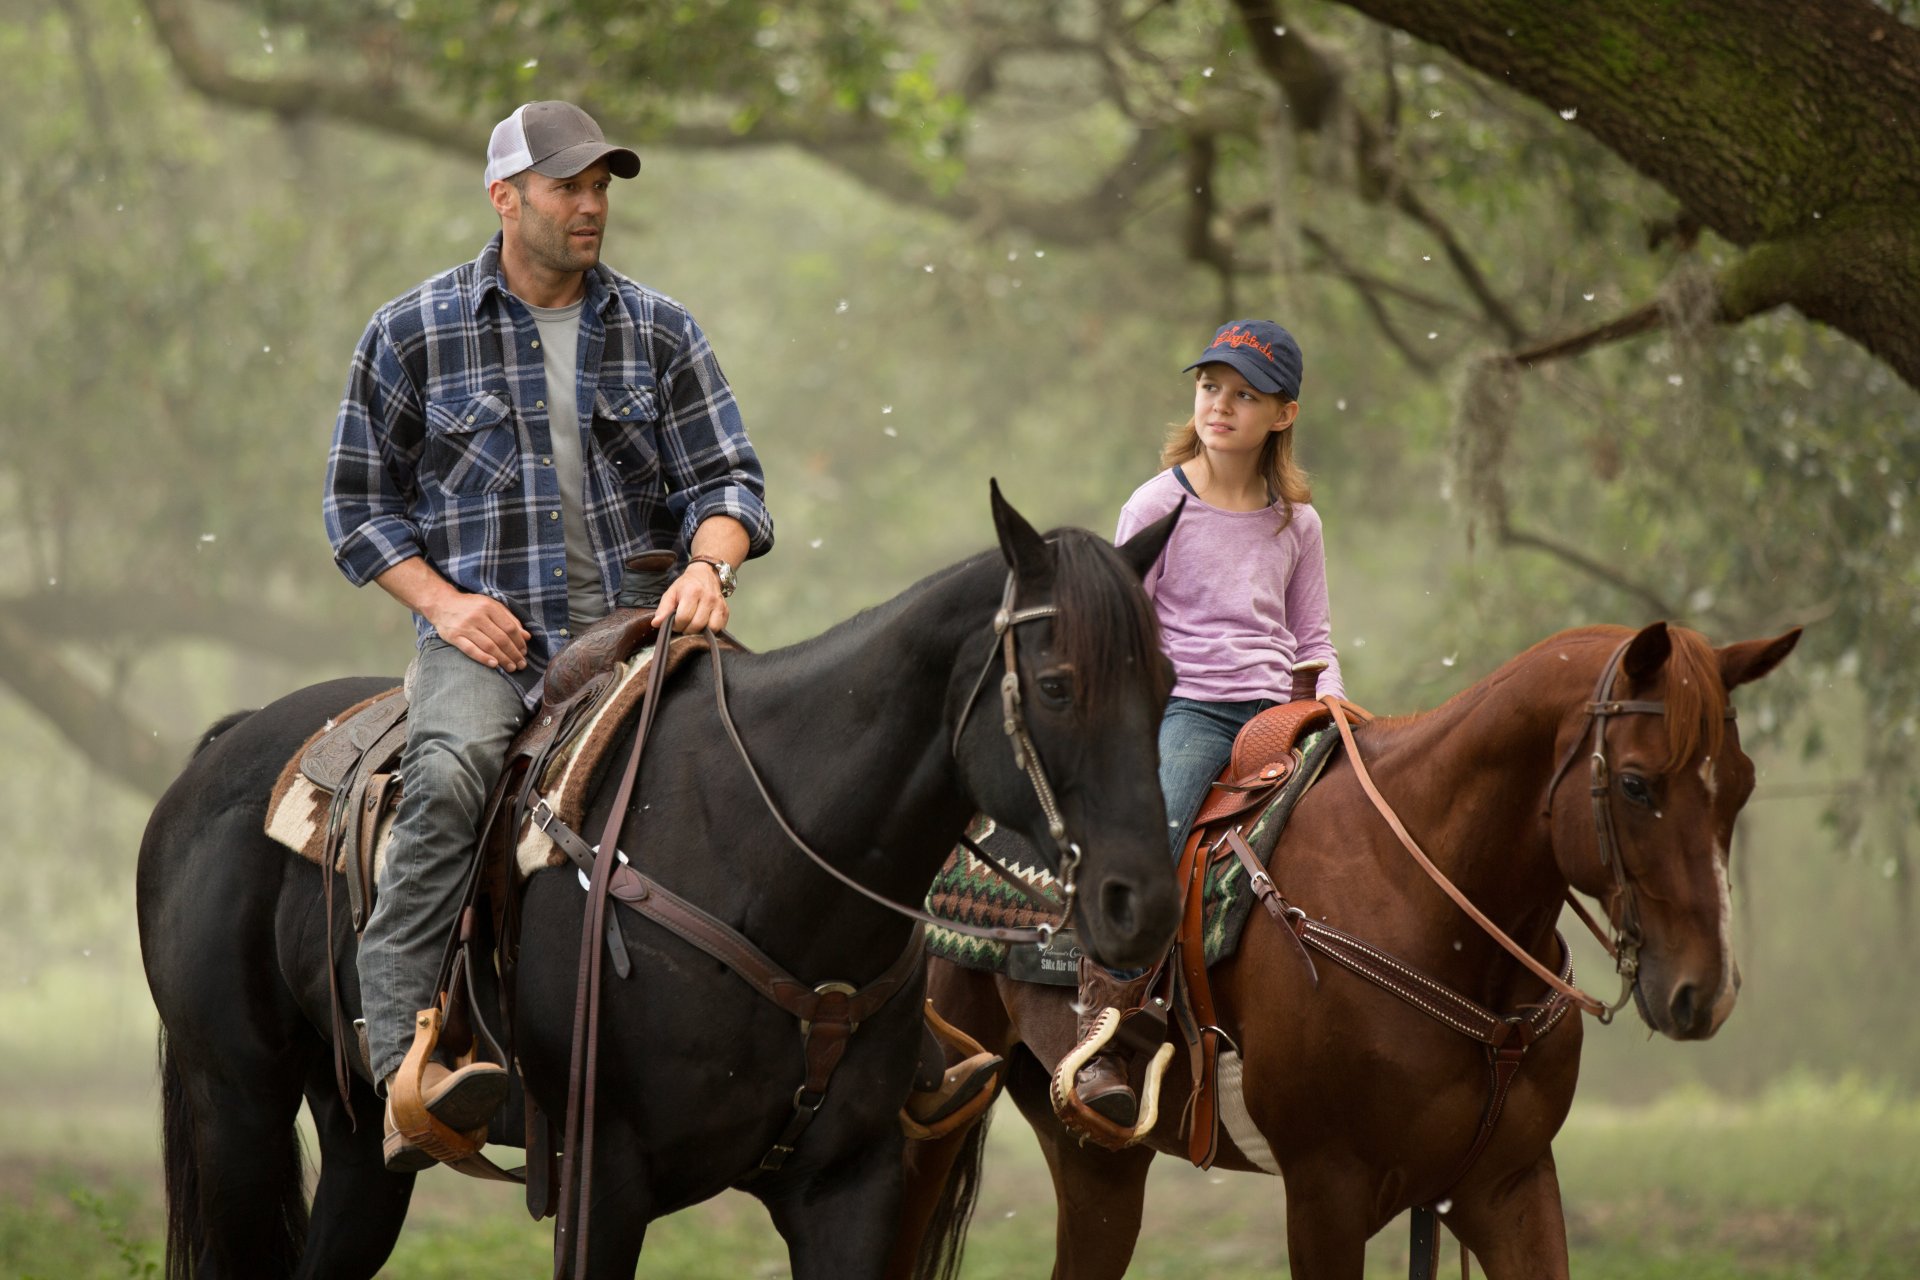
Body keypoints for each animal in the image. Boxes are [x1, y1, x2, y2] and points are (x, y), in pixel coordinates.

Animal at [135, 491, 1175, 1280]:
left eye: (1166, 681)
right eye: (1055, 684)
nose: (1142, 903)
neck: (764, 861)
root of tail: (221, 748)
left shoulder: (851, 1188)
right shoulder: (601, 1182)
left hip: (360, 1141)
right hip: (237, 1102)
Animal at [894, 621, 1797, 1280]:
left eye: (1744, 782)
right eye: (1638, 785)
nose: (1705, 992)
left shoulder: (1507, 1184)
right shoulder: (1326, 1190)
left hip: (1097, 1159)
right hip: (935, 1112)